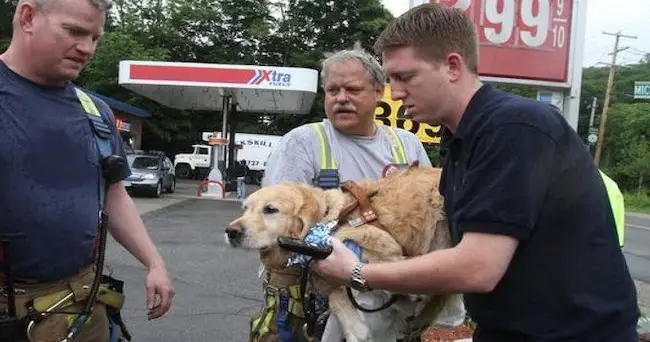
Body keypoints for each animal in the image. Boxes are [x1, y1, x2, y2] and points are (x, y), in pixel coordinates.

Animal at [225, 166, 454, 342]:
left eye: (270, 209)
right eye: (245, 208)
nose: (230, 231)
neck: (328, 218)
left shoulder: (380, 246)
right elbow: (336, 295)